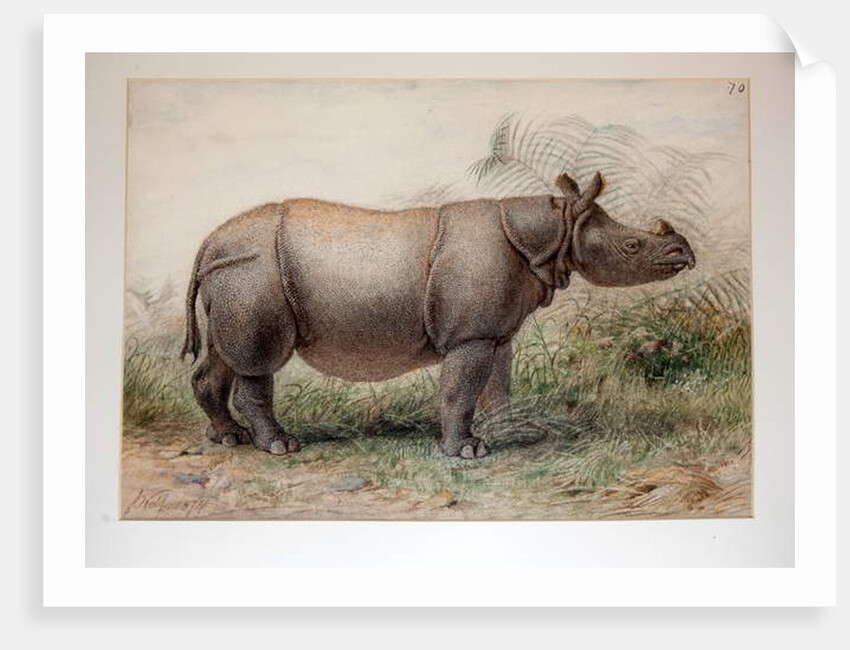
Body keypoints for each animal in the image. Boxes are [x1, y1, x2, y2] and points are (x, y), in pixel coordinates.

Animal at [182, 172, 695, 459]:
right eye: (632, 246)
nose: (685, 253)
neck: (552, 232)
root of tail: (208, 243)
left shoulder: (493, 332)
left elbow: (497, 387)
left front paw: (513, 432)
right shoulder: (469, 335)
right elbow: (460, 391)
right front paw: (466, 452)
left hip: (236, 272)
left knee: (223, 354)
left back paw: (227, 439)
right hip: (254, 269)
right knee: (257, 360)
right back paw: (280, 447)